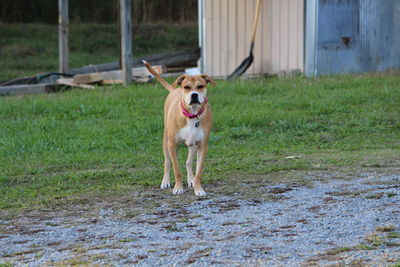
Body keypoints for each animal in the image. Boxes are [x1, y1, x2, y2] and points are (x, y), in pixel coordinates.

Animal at [143, 61, 216, 197]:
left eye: (200, 86)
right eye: (187, 87)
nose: (194, 95)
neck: (192, 115)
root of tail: (174, 89)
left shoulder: (202, 145)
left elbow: (199, 171)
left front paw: (198, 188)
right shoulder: (172, 144)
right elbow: (176, 169)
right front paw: (178, 188)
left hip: (192, 145)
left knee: (188, 163)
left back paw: (191, 179)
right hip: (165, 141)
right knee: (167, 162)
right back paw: (165, 182)